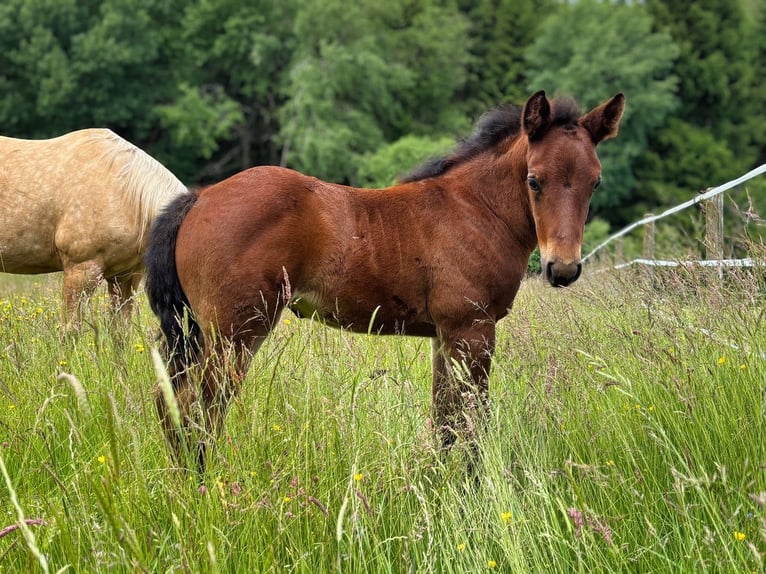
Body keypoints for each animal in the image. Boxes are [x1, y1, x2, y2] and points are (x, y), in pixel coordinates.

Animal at [145, 90, 625, 472]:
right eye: (534, 180)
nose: (562, 269)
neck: (475, 210)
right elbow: (471, 423)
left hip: (197, 331)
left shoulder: (445, 336)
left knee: (171, 400)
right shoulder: (473, 330)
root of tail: (200, 197)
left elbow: (445, 422)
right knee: (198, 408)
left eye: (596, 182)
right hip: (234, 333)